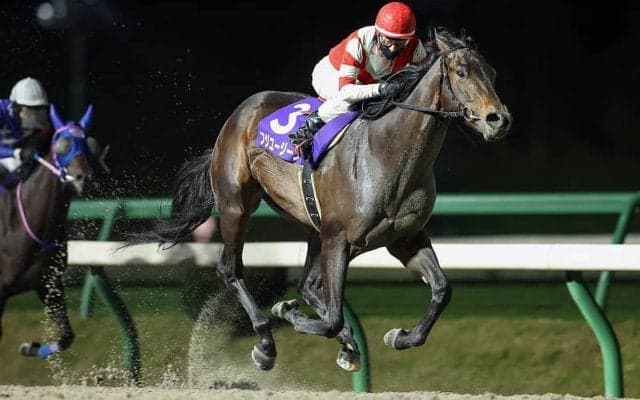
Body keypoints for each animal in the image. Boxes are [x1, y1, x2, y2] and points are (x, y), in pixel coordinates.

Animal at [0, 104, 105, 359]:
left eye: (91, 144)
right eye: (61, 144)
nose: (84, 178)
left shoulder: (49, 284)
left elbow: (67, 336)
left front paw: (30, 347)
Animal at [130, 28, 511, 372]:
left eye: (492, 73)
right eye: (461, 72)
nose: (499, 119)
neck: (388, 153)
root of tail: (241, 113)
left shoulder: (404, 238)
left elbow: (442, 290)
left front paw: (400, 336)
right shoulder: (338, 238)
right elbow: (330, 318)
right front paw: (286, 312)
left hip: (314, 228)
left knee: (309, 286)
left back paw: (345, 344)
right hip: (237, 206)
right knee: (232, 270)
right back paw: (266, 342)